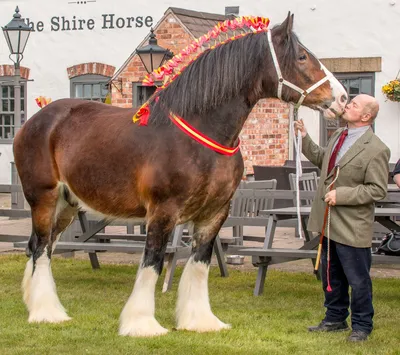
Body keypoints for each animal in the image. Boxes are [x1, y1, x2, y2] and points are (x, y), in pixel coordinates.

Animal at [13, 12, 346, 338]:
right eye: (302, 57)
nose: (342, 98)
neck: (199, 132)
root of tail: (34, 122)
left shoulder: (214, 214)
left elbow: (199, 264)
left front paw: (200, 321)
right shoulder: (163, 212)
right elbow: (153, 262)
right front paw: (142, 324)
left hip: (68, 205)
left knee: (43, 248)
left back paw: (40, 306)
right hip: (44, 199)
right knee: (40, 248)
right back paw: (47, 313)